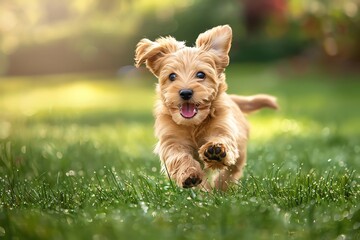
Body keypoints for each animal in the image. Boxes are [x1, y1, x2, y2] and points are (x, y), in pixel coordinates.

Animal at [135, 25, 278, 190]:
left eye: (201, 74)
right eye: (172, 76)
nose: (185, 92)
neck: (193, 124)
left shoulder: (223, 128)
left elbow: (223, 141)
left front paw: (215, 151)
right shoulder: (171, 140)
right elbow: (178, 156)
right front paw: (189, 174)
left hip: (241, 149)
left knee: (233, 170)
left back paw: (221, 186)